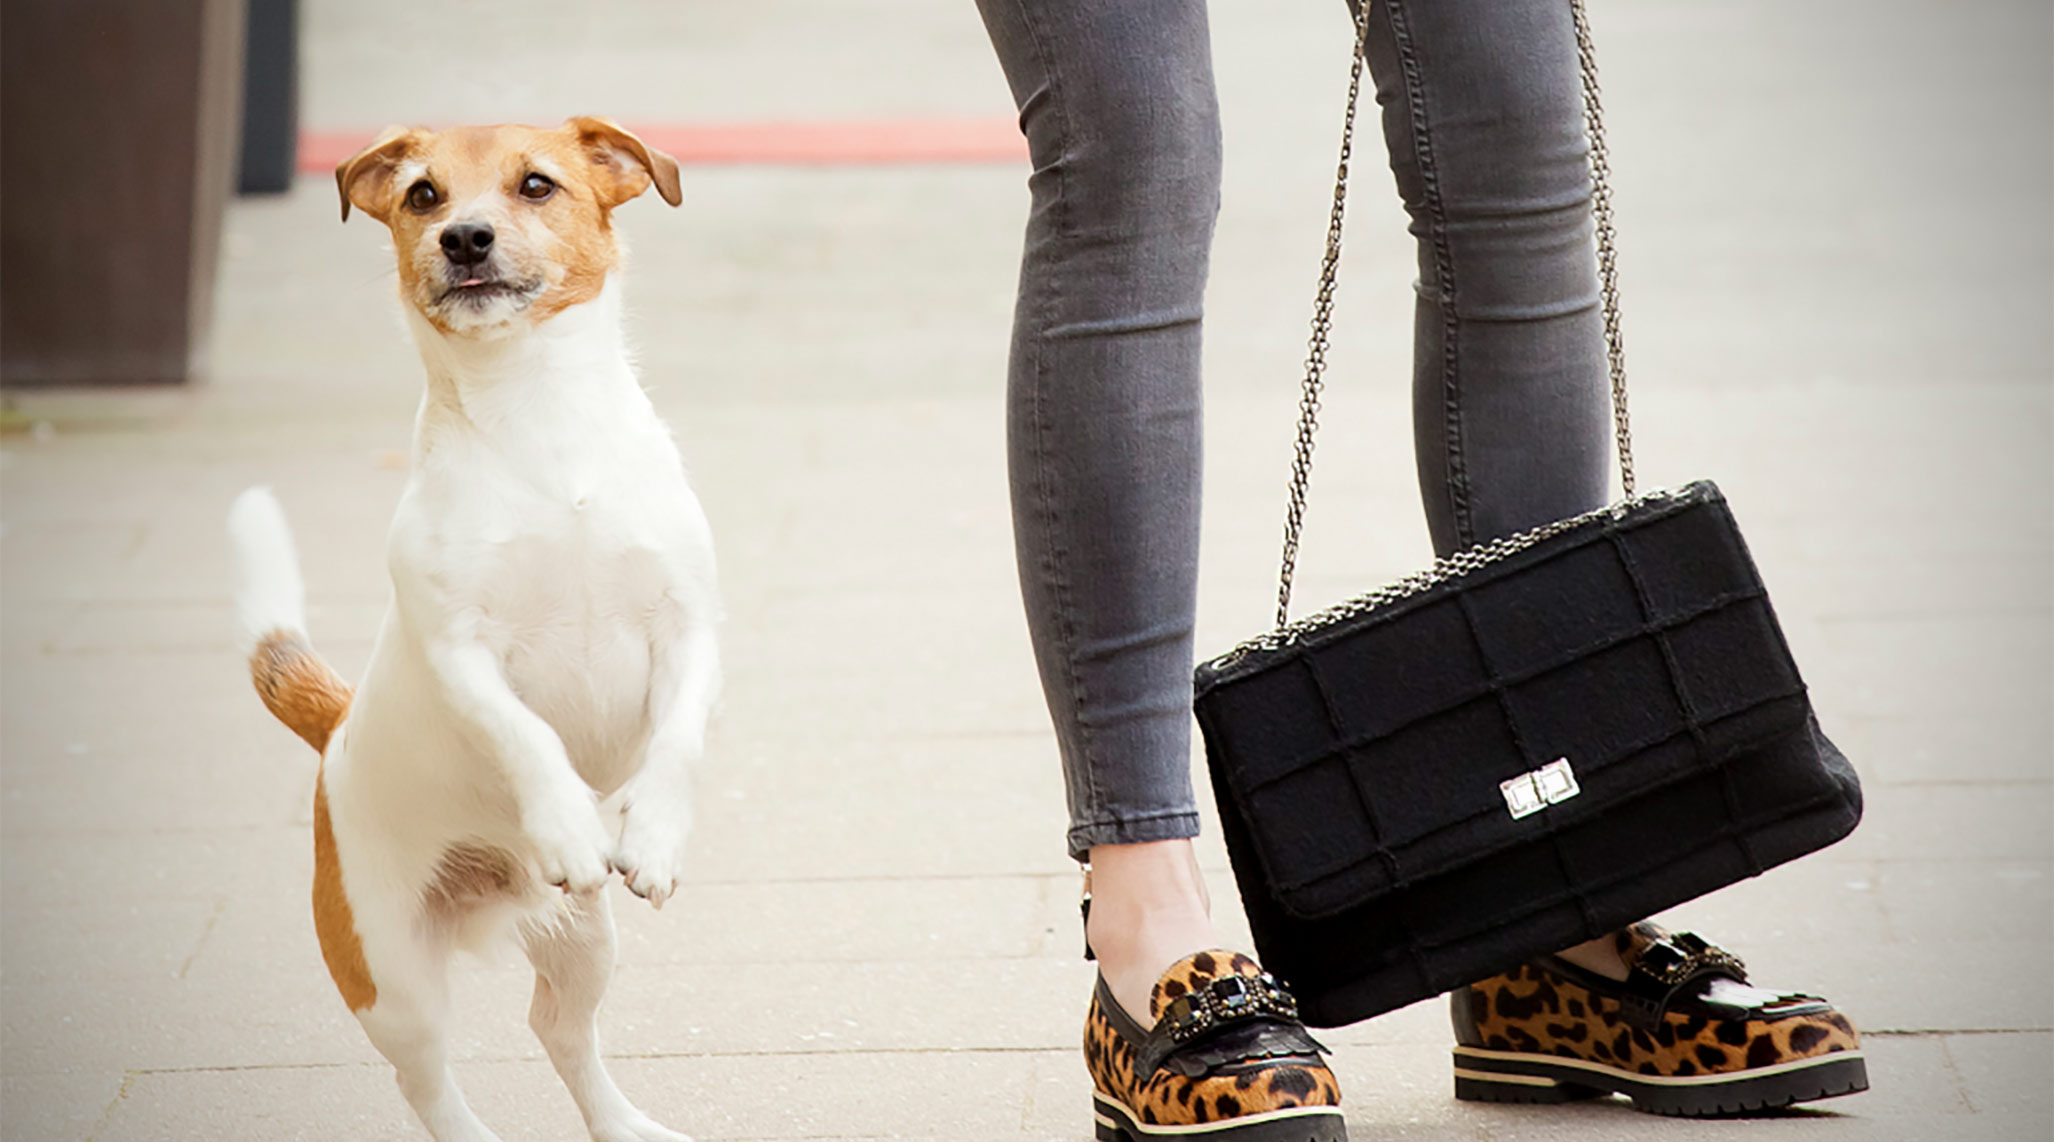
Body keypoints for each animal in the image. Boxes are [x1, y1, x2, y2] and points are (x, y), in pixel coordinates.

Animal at [230, 118, 714, 1142]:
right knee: (425, 1081)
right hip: (391, 976)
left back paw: (624, 1125)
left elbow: (679, 743)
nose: (465, 239)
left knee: (561, 1033)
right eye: (424, 195)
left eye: (537, 185)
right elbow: (527, 736)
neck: (538, 416)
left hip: (582, 936)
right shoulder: (462, 651)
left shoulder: (692, 628)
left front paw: (652, 836)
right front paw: (568, 818)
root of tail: (334, 734)